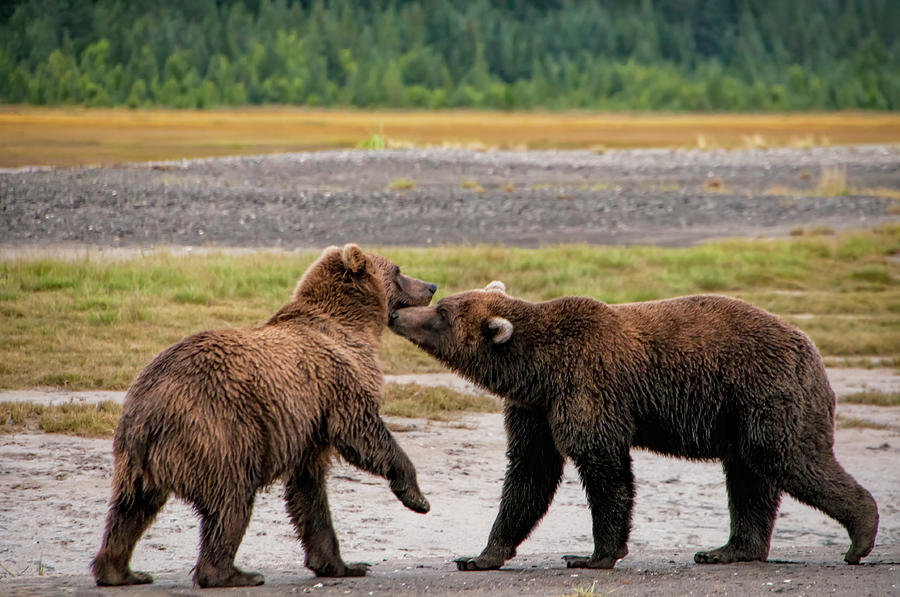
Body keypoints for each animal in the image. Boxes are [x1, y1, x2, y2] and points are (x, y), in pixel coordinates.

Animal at [93, 243, 438, 588]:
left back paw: (122, 572)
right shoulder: (337, 384)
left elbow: (309, 493)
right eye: (398, 270)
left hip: (137, 457)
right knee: (230, 500)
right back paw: (232, 574)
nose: (431, 286)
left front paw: (342, 564)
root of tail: (150, 406)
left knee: (130, 509)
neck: (354, 323)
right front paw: (416, 497)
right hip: (219, 431)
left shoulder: (310, 427)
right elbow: (364, 435)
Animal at [388, 282, 880, 572]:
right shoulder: (535, 409)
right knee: (748, 478)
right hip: (740, 414)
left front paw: (592, 555)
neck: (537, 369)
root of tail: (812, 349)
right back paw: (727, 549)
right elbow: (529, 473)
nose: (396, 314)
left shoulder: (587, 389)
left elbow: (604, 470)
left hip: (764, 392)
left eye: (441, 313)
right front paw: (481, 555)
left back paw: (860, 535)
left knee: (789, 458)